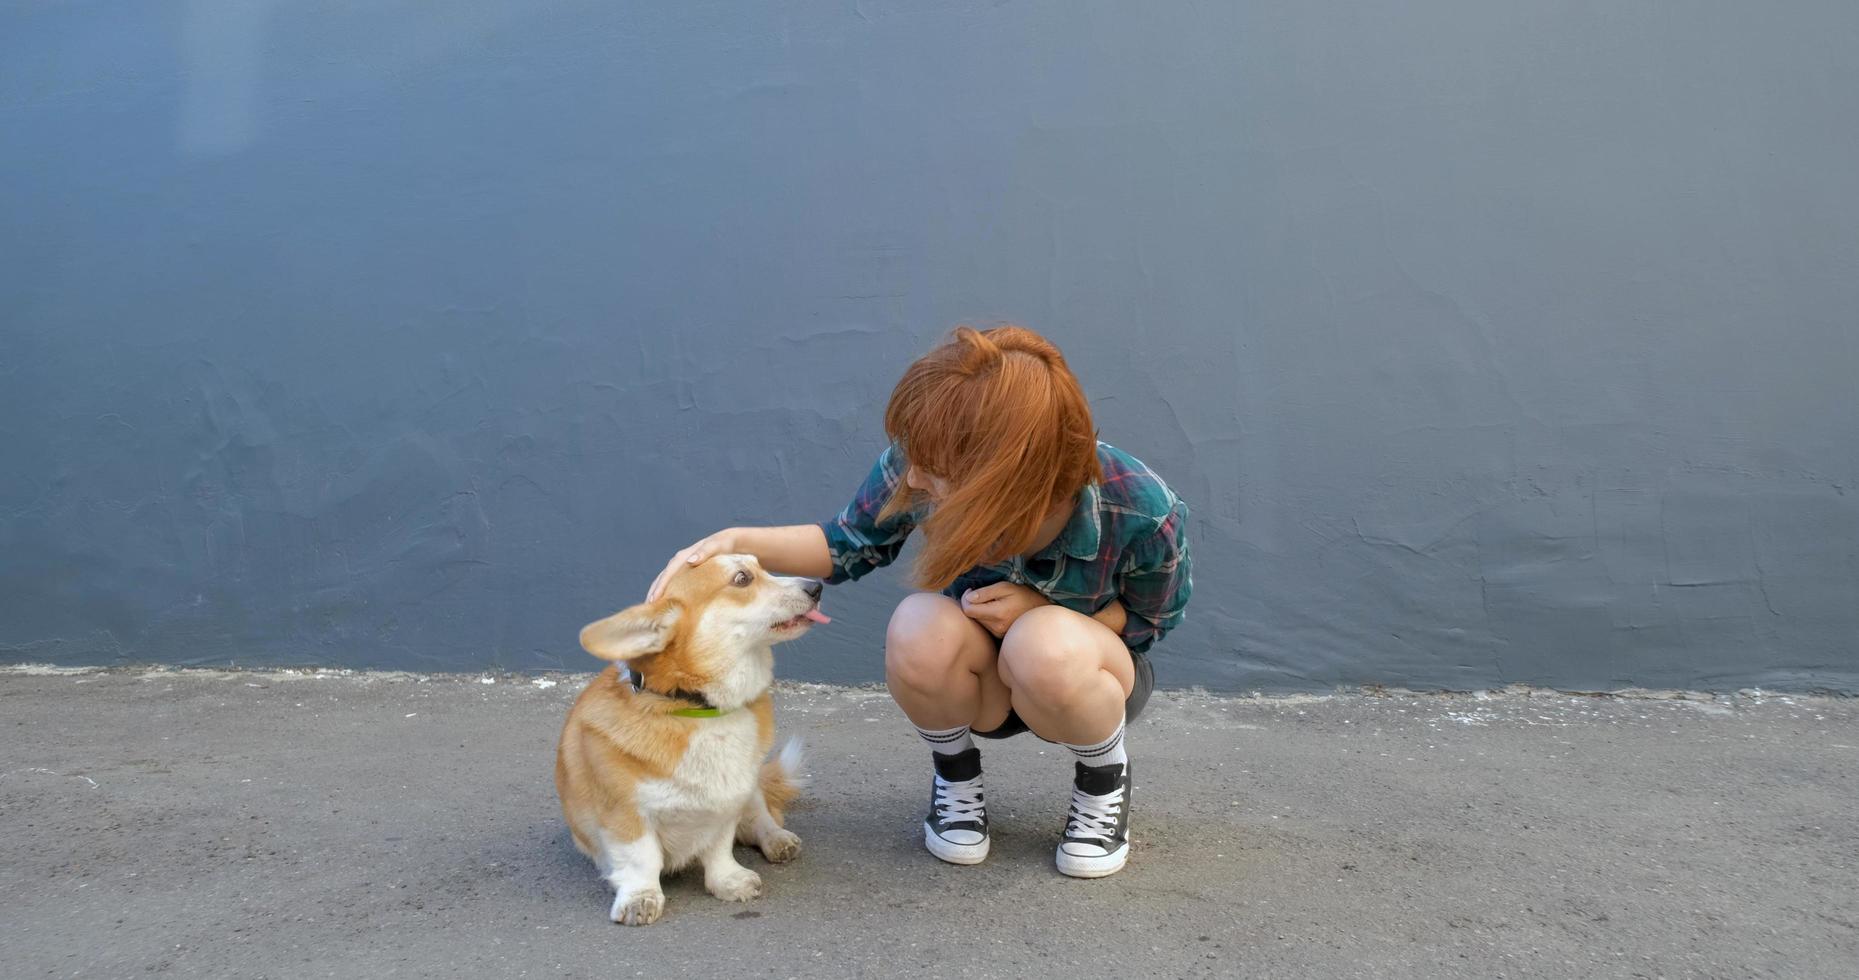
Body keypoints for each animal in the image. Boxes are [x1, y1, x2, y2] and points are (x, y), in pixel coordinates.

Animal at [550, 557, 829, 926]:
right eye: (742, 578)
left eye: (762, 566)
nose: (817, 587)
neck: (697, 706)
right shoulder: (624, 813)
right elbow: (641, 858)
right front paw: (640, 897)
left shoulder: (728, 802)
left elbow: (720, 847)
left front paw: (729, 880)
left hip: (752, 788)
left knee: (759, 817)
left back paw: (777, 839)